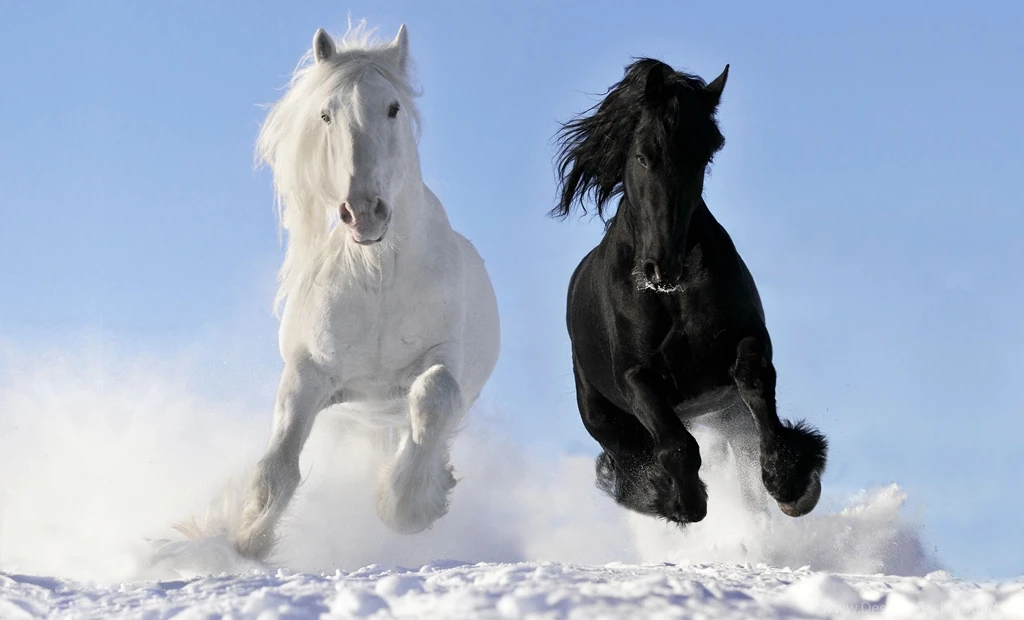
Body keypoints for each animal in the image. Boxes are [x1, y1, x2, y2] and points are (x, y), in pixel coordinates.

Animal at [232, 24, 500, 561]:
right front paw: (246, 540)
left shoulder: (444, 359)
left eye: (393, 107)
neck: (377, 278)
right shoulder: (309, 373)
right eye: (325, 113)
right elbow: (277, 465)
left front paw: (407, 506)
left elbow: (435, 396)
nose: (363, 212)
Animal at [552, 58, 828, 526]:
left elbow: (755, 381)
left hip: (726, 414)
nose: (662, 267)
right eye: (643, 155)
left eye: (703, 156)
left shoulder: (747, 340)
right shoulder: (636, 377)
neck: (671, 297)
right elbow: (676, 446)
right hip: (604, 417)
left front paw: (792, 481)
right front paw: (681, 500)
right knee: (630, 460)